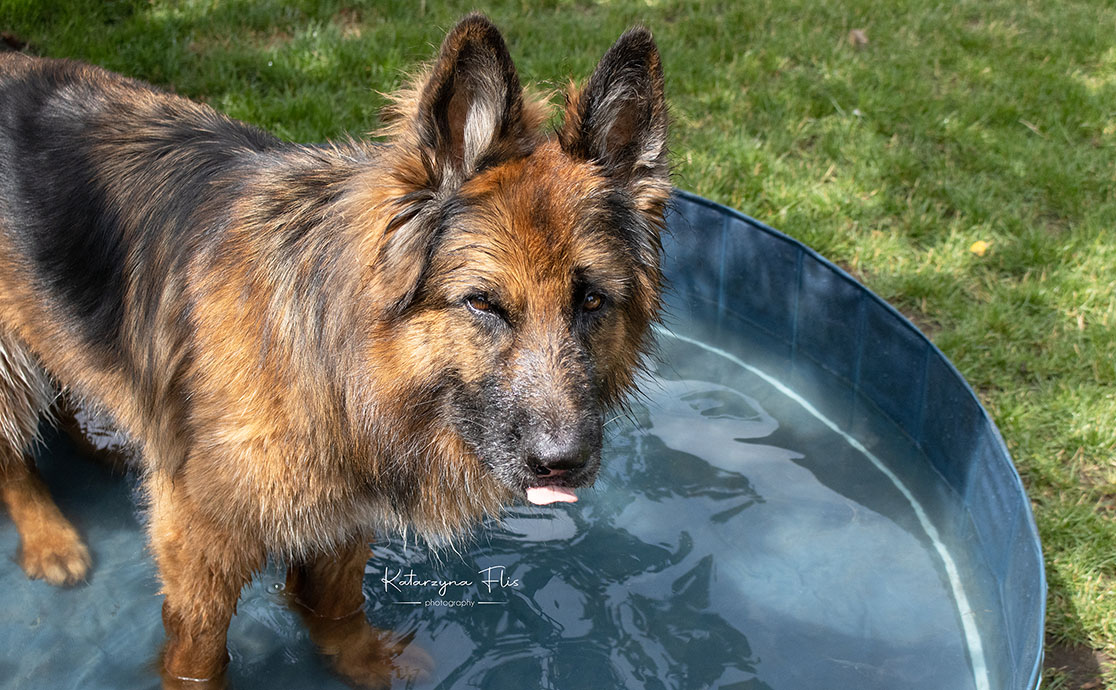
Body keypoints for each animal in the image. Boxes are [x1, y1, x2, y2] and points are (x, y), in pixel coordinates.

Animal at [0, 12, 660, 687]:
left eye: (591, 301)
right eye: (483, 303)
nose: (563, 462)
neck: (341, 365)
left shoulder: (344, 518)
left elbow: (337, 610)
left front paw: (370, 665)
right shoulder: (201, 541)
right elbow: (199, 655)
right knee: (12, 453)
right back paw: (51, 540)